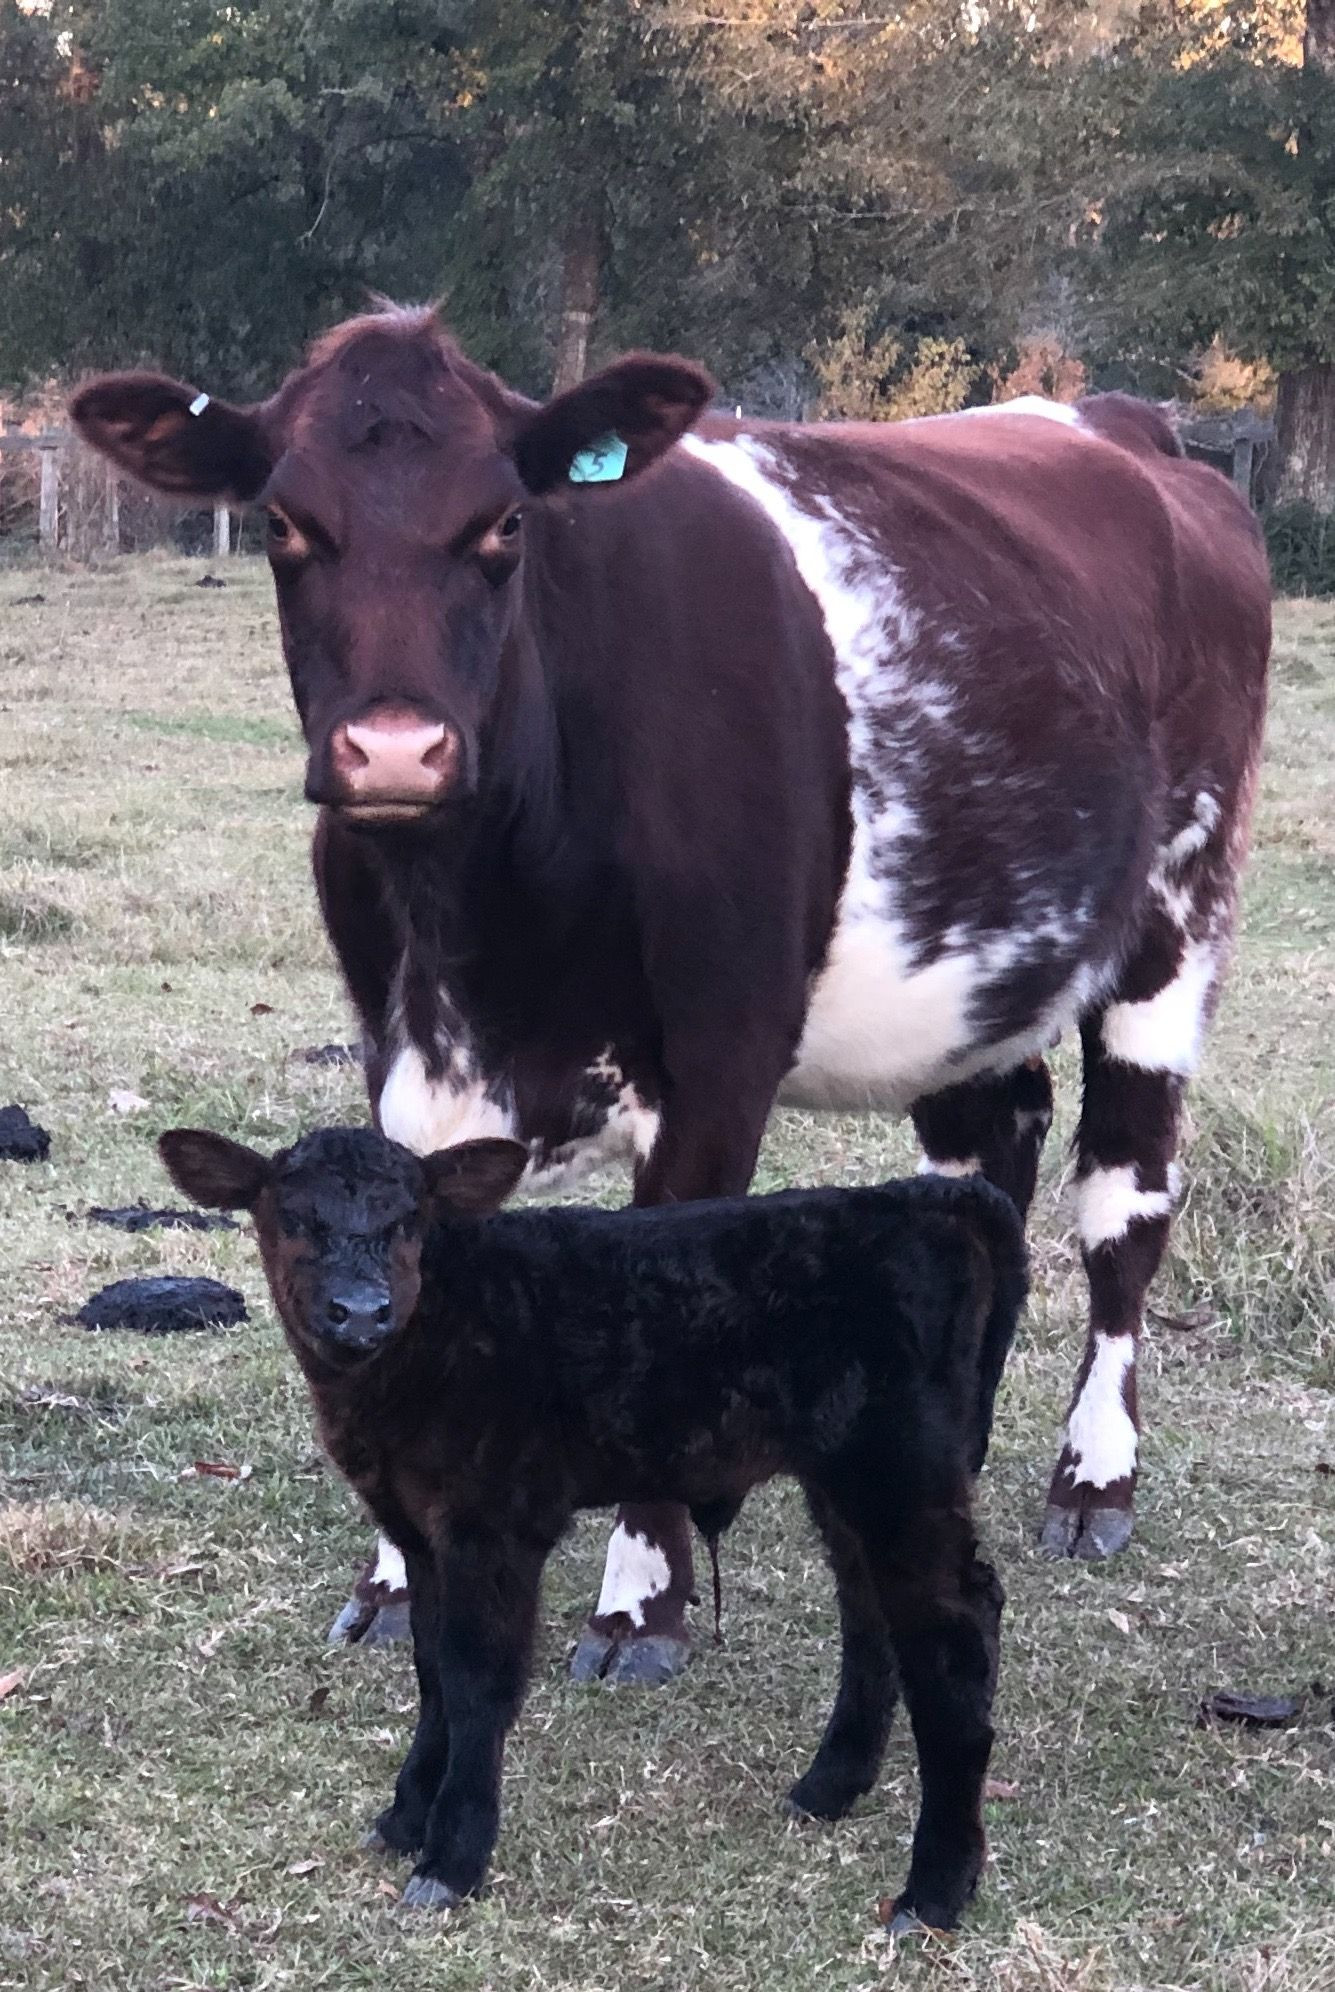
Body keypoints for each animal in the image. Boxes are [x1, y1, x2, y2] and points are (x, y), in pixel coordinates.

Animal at [73, 306, 1275, 1681]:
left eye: (507, 523)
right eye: (282, 522)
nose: (393, 751)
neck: (475, 924)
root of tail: (1119, 424)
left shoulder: (718, 1063)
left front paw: (640, 1602)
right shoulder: (394, 1044)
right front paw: (397, 1580)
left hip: (1179, 914)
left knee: (1126, 1199)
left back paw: (1094, 1479)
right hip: (972, 966)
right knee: (987, 1160)